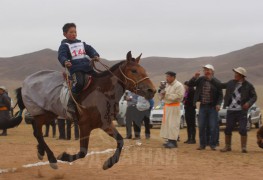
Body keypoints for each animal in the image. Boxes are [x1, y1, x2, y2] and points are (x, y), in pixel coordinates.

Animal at [15, 51, 157, 169]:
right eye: (134, 70)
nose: (152, 90)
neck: (101, 92)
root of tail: (25, 83)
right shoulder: (85, 125)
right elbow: (83, 152)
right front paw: (64, 156)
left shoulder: (105, 124)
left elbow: (120, 141)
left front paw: (109, 163)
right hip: (42, 114)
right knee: (37, 132)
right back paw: (52, 159)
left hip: (49, 114)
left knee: (36, 130)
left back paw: (41, 151)